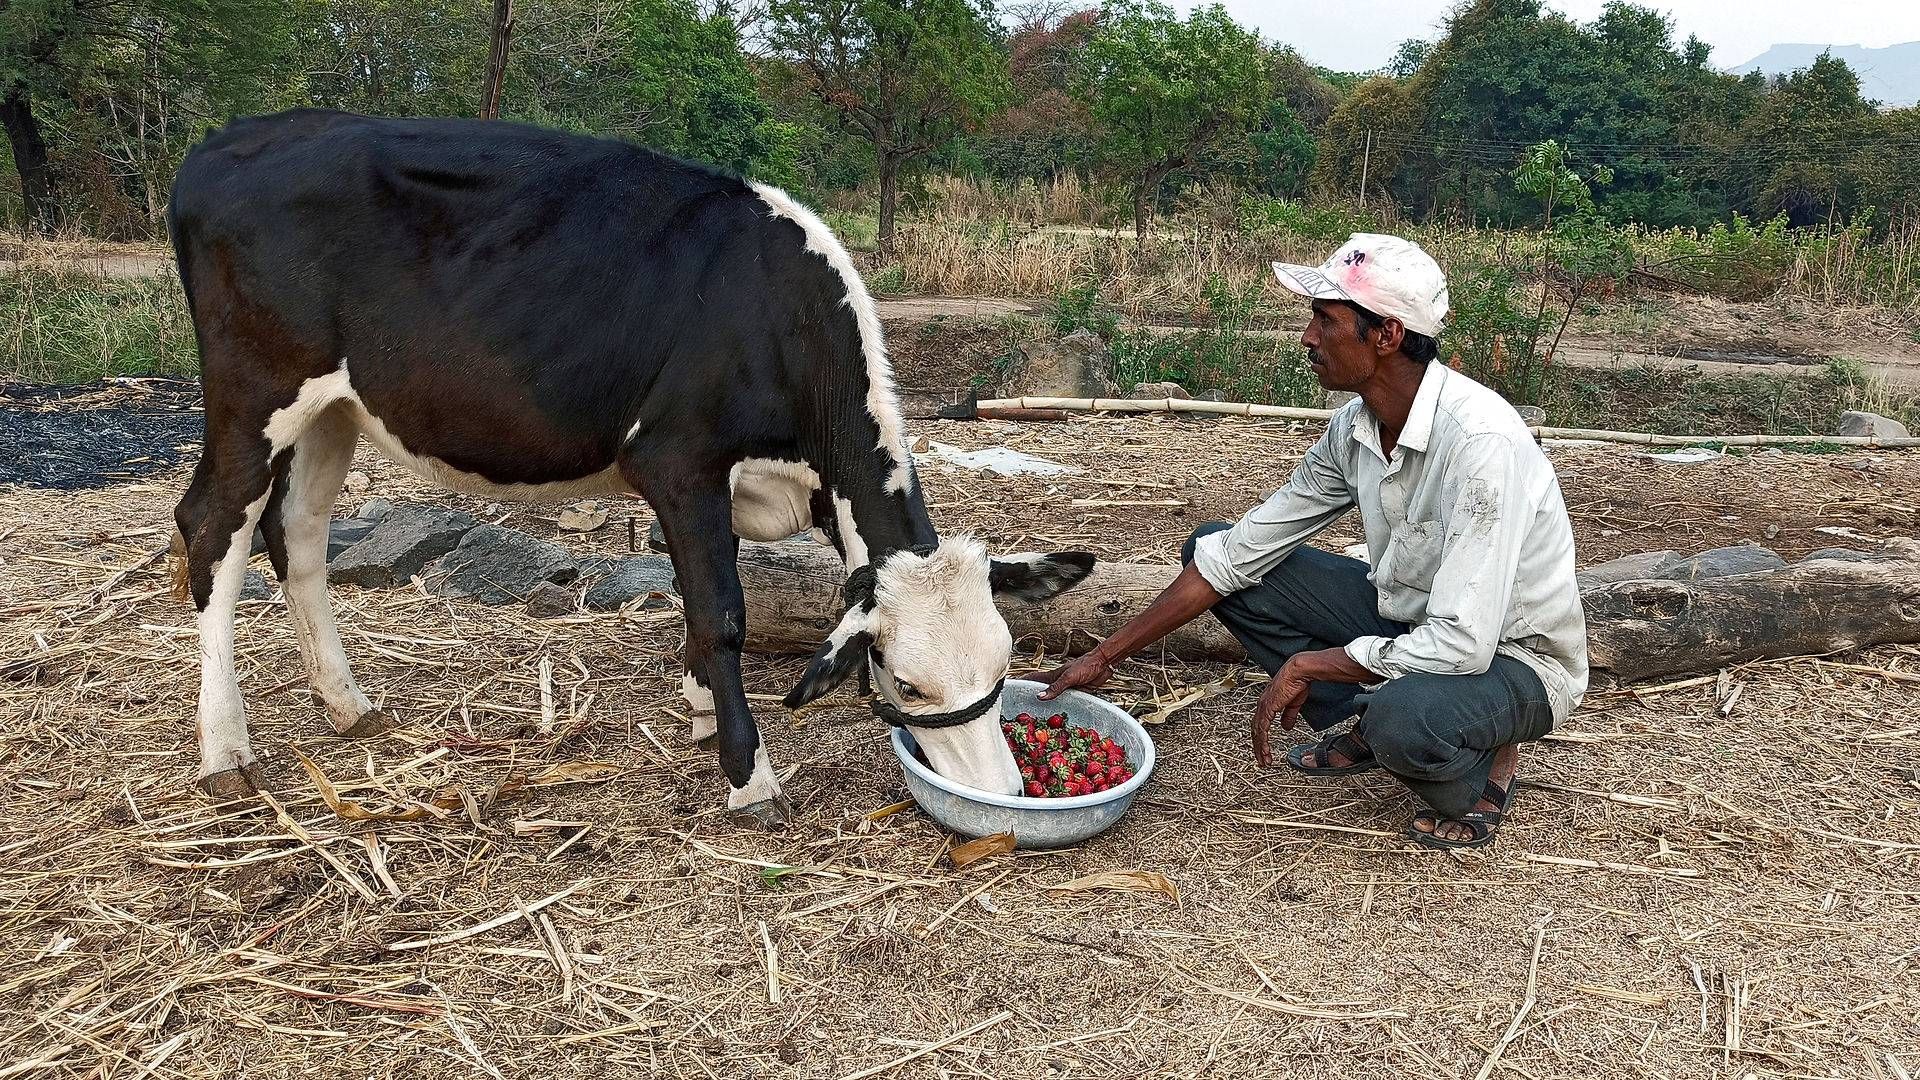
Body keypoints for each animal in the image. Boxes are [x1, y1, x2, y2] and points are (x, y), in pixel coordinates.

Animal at [168, 109, 1098, 818]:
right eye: (905, 684)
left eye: (1005, 662)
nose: (1005, 792)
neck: (775, 316)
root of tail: (229, 138)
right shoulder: (678, 460)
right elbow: (722, 613)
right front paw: (748, 774)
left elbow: (699, 600)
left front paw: (700, 712)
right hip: (253, 390)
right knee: (212, 526)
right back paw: (225, 749)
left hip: (335, 406)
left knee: (298, 533)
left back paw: (345, 703)